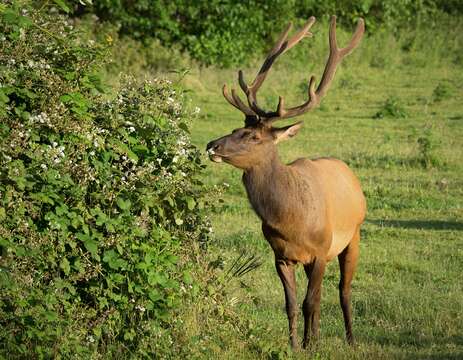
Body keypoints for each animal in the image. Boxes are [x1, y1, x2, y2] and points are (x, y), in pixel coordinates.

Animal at [207, 16, 366, 348]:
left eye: (253, 136)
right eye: (235, 129)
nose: (211, 145)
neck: (290, 220)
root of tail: (348, 172)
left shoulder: (320, 251)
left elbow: (311, 302)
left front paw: (310, 345)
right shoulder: (280, 255)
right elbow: (292, 304)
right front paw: (295, 344)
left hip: (353, 235)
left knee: (343, 290)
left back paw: (350, 338)